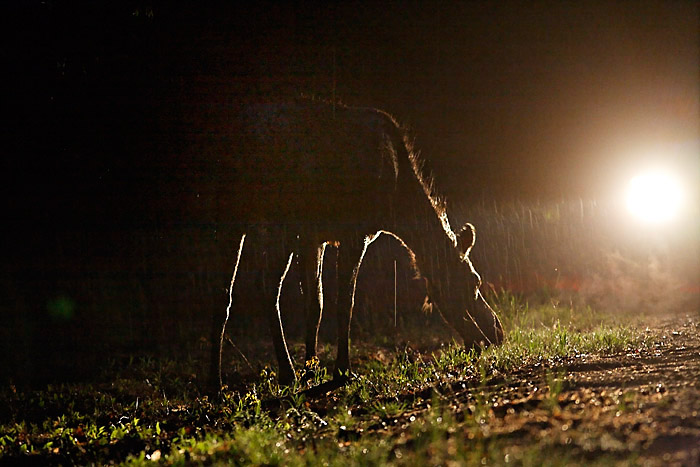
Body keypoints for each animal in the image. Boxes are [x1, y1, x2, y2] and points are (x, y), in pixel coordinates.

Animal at [211, 100, 500, 390]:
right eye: (474, 281)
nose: (496, 334)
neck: (396, 208)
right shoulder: (353, 233)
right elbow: (344, 302)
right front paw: (342, 370)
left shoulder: (313, 238)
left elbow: (316, 303)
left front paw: (311, 369)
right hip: (273, 222)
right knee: (265, 290)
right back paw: (281, 373)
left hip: (235, 218)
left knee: (226, 293)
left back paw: (217, 384)